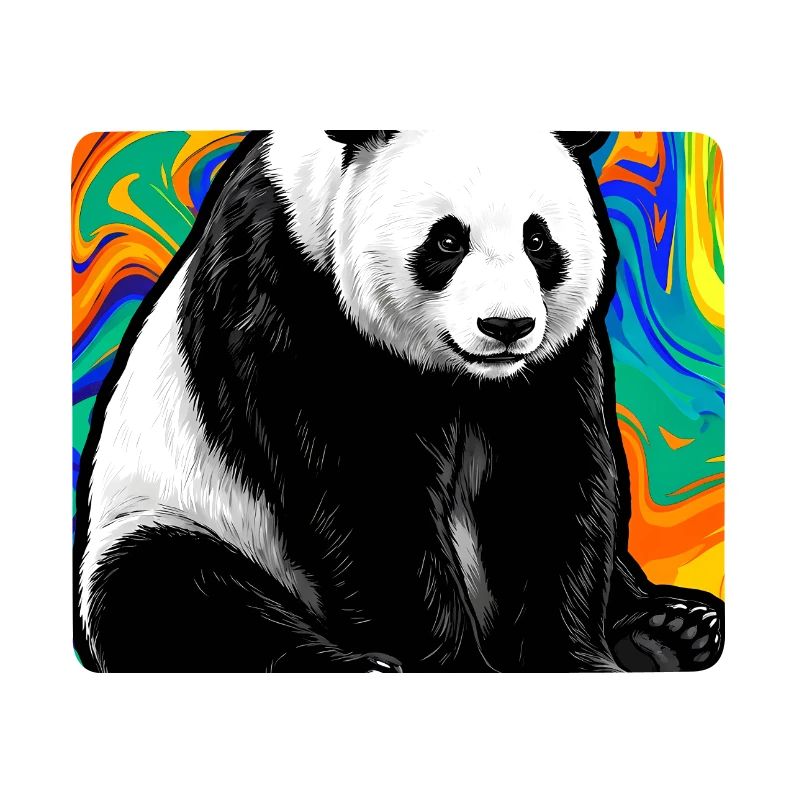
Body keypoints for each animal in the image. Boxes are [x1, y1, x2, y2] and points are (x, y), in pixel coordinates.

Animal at [74, 130, 724, 672]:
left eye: (538, 239)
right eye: (447, 239)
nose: (506, 326)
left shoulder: (547, 364)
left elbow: (548, 480)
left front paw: (570, 659)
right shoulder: (289, 291)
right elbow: (367, 488)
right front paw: (452, 666)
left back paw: (674, 630)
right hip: (173, 514)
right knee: (173, 595)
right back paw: (356, 667)